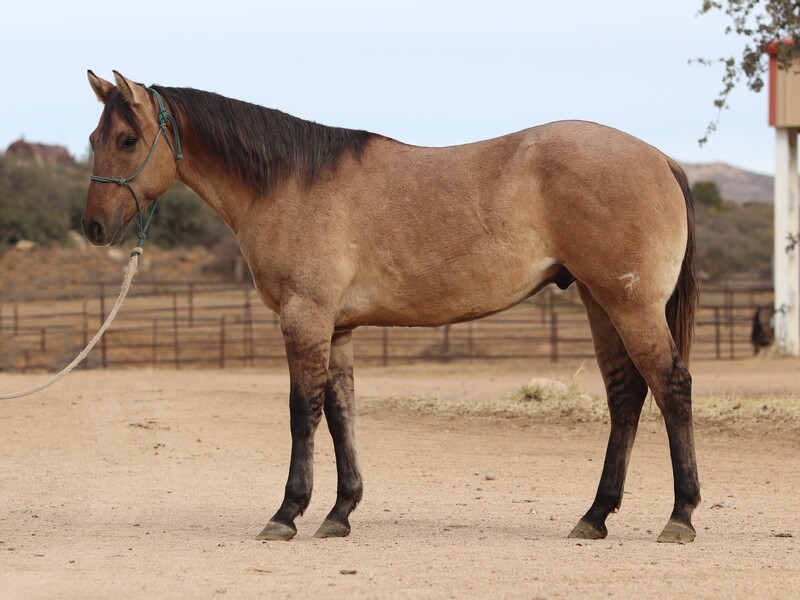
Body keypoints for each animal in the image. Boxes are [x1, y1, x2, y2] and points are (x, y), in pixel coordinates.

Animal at [83, 70, 700, 544]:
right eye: (94, 136)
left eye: (127, 140)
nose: (92, 227)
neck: (291, 184)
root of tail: (660, 158)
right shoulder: (337, 328)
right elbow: (341, 413)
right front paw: (339, 513)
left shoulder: (305, 317)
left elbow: (303, 411)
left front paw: (287, 514)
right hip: (602, 303)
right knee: (626, 396)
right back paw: (594, 517)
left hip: (630, 304)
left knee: (670, 386)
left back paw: (680, 516)